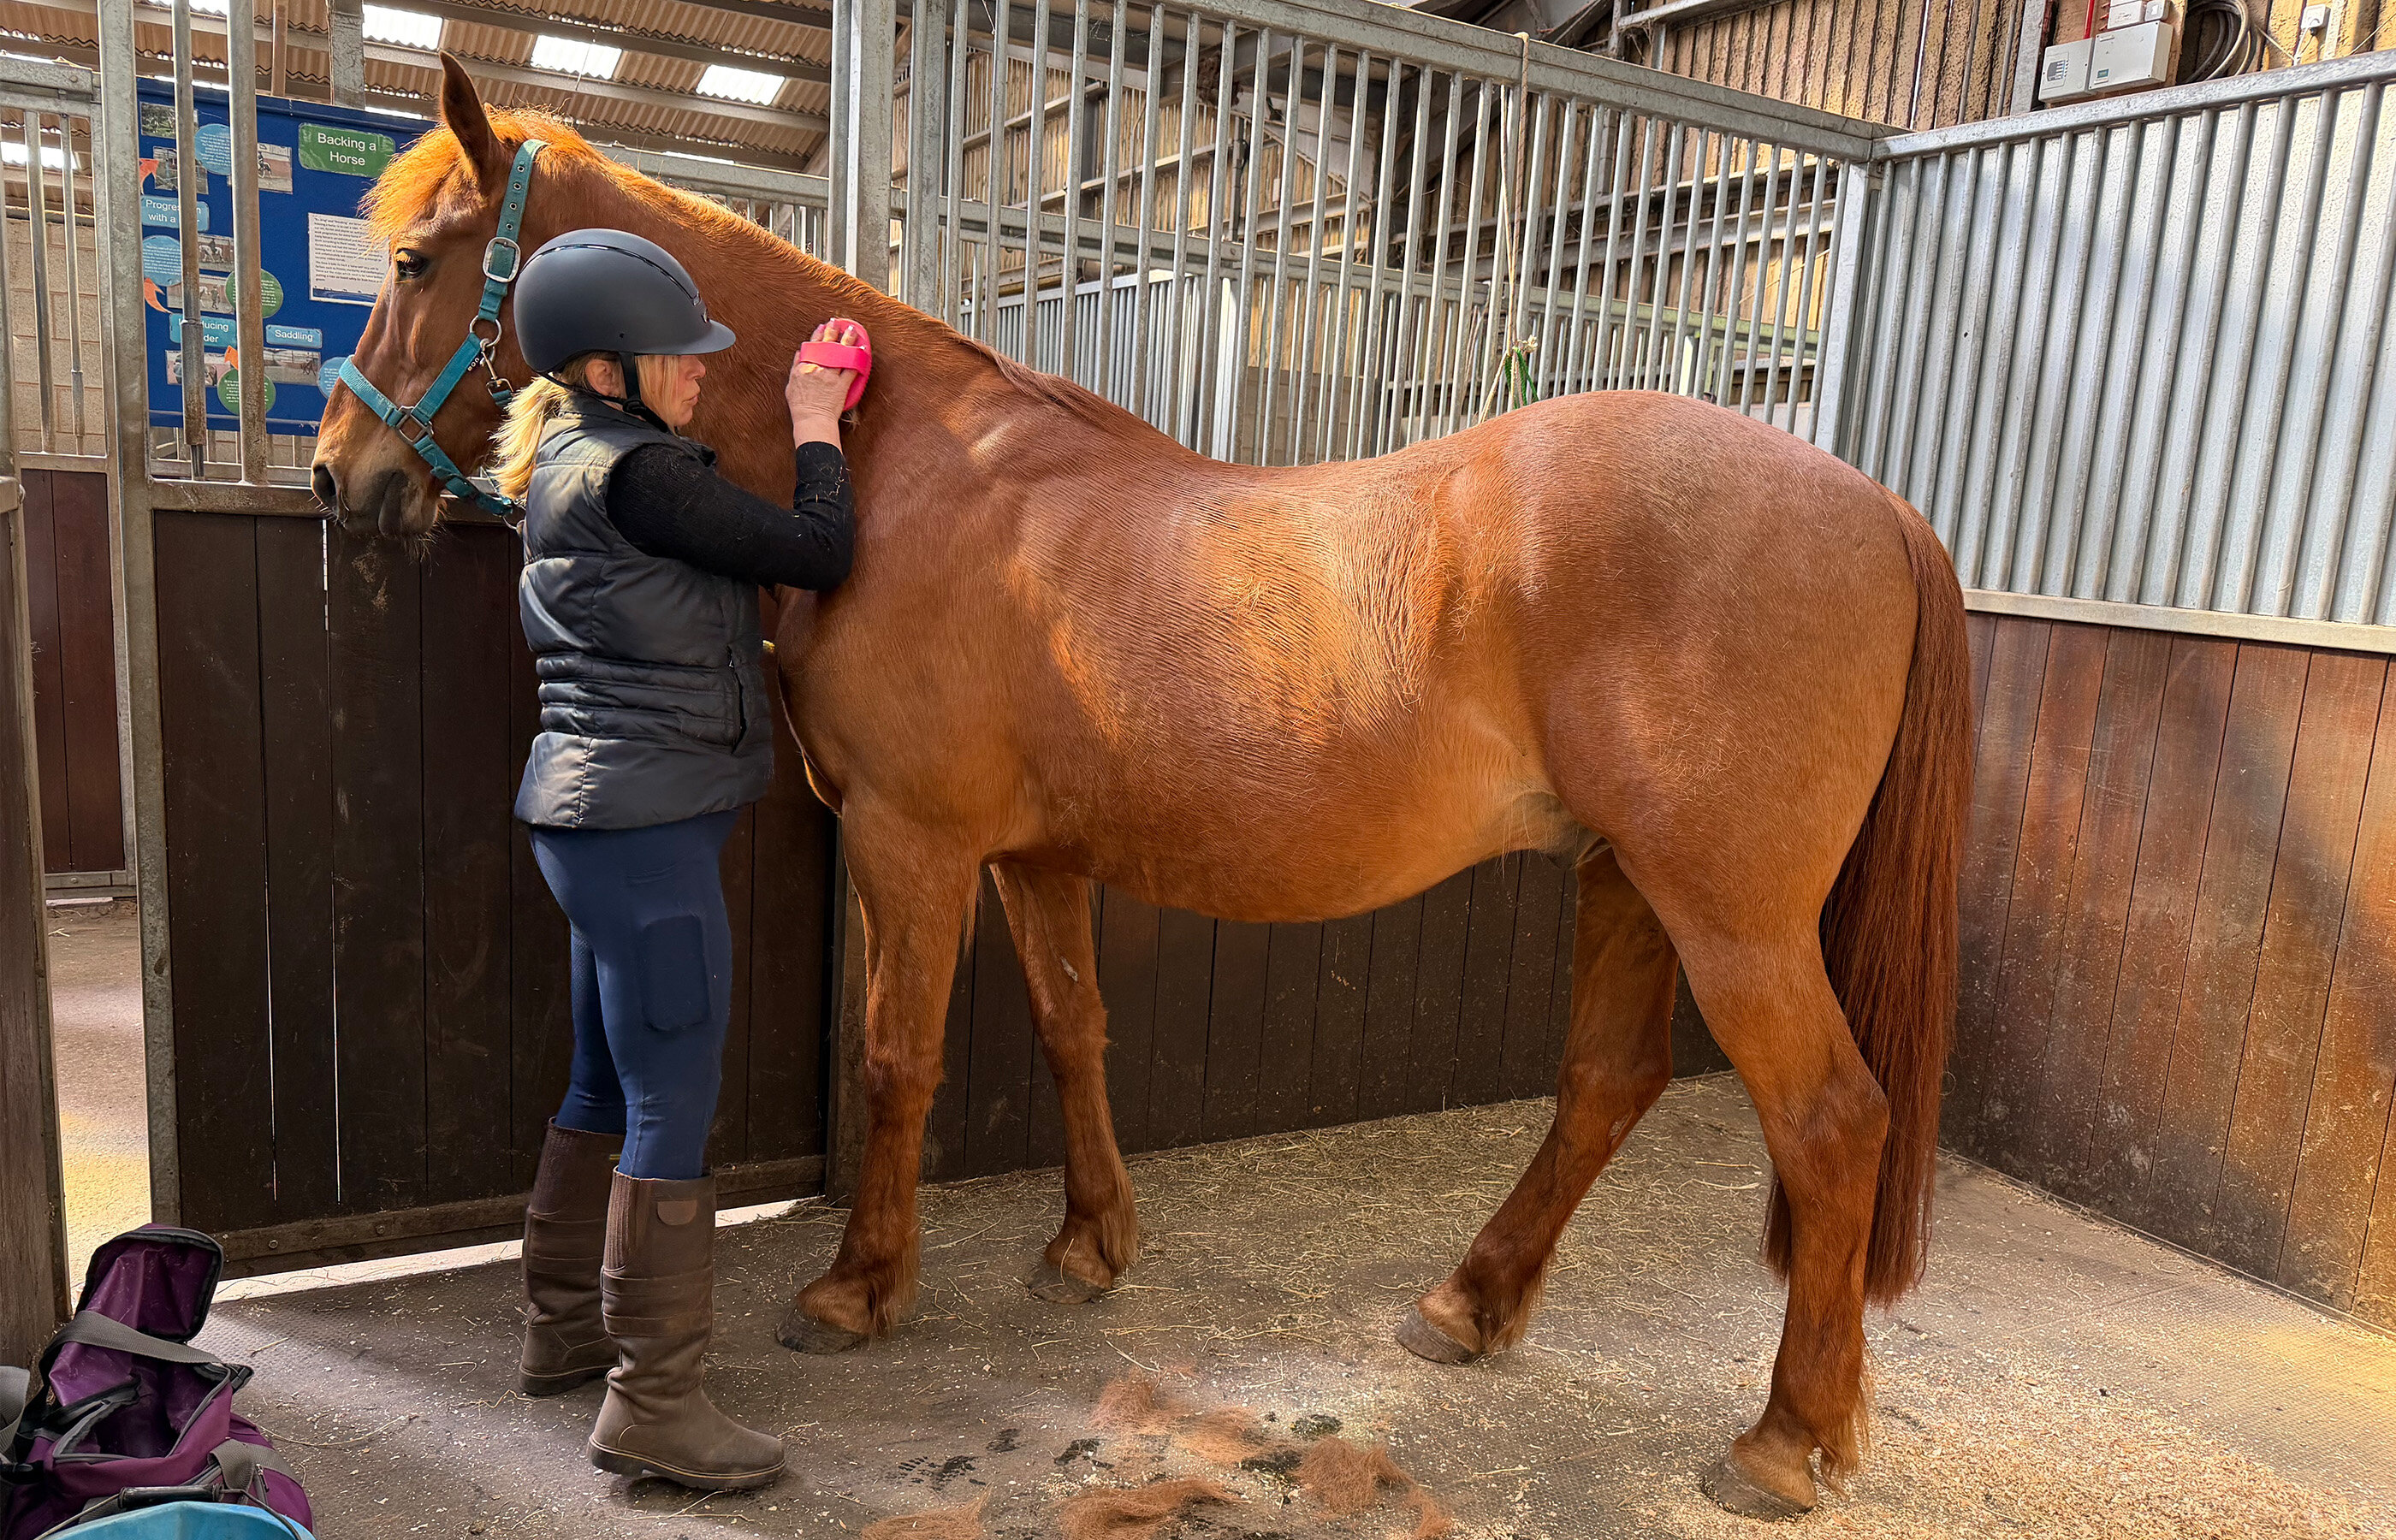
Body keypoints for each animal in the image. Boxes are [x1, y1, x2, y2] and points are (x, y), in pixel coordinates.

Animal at [310, 56, 1971, 1519]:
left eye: (413, 258)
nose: (338, 479)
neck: (898, 473)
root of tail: (1878, 504)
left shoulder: (913, 843)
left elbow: (897, 1057)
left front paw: (858, 1289)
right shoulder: (1035, 858)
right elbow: (1072, 1030)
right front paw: (1089, 1247)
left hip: (1732, 915)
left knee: (1831, 1125)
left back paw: (1781, 1441)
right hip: (1624, 875)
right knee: (1606, 1087)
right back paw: (1467, 1304)